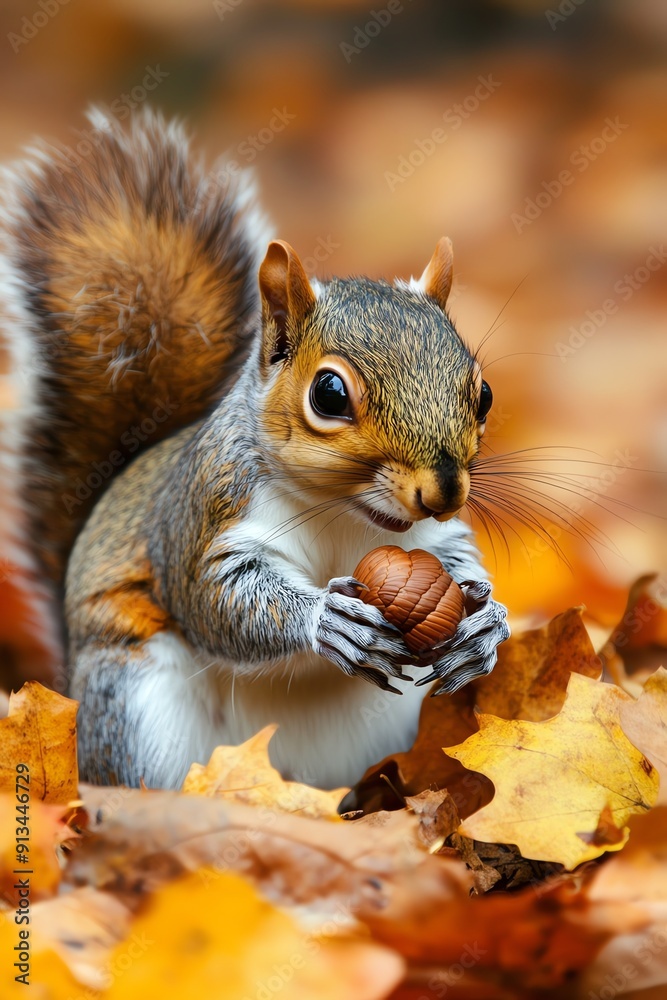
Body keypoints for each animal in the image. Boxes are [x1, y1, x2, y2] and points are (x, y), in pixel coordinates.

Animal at [0, 110, 509, 790]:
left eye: (483, 393)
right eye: (328, 394)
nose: (446, 491)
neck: (344, 513)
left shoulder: (432, 540)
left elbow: (459, 562)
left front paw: (486, 625)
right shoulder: (207, 514)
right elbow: (216, 599)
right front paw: (325, 619)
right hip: (137, 705)